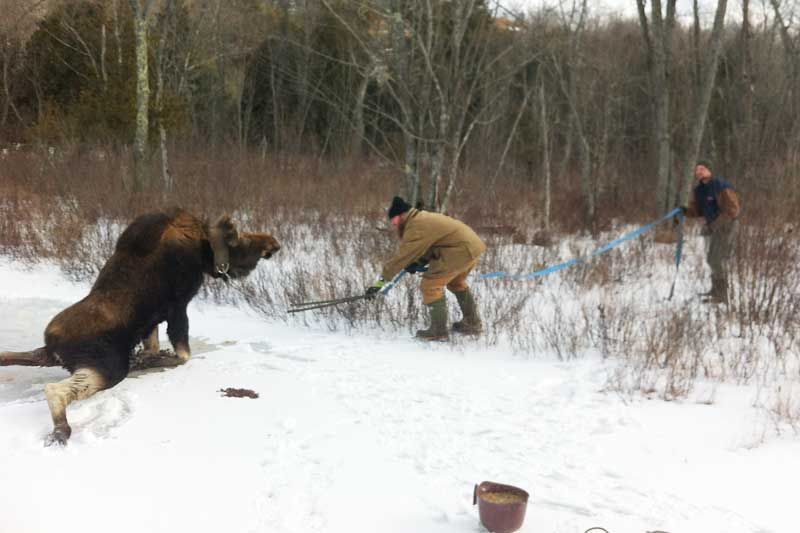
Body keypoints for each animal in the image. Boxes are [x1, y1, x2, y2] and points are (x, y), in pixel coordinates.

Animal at [0, 208, 282, 444]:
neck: (203, 251)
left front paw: (148, 357)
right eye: (240, 239)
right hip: (109, 366)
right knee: (54, 390)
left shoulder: (152, 321)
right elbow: (183, 353)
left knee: (20, 355)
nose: (273, 244)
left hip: (62, 358)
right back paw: (62, 431)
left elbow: (154, 346)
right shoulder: (178, 306)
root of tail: (53, 342)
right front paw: (156, 359)